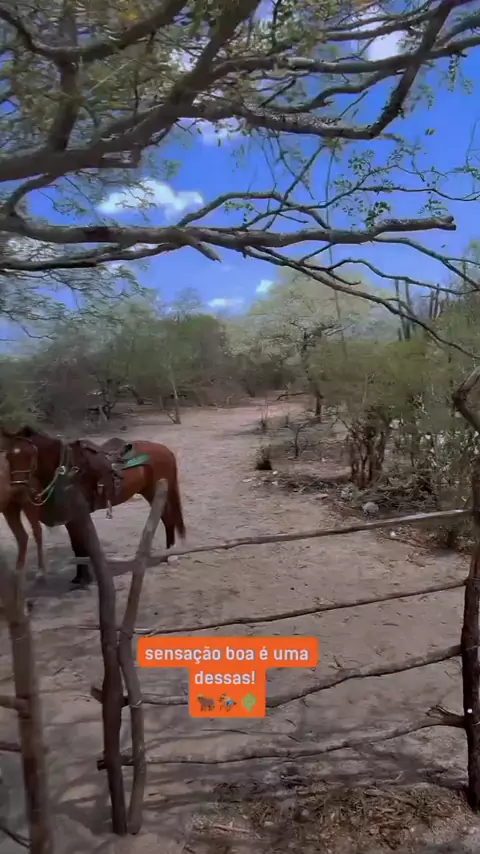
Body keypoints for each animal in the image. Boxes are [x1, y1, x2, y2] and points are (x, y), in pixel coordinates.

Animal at [2, 427, 186, 587]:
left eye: (29, 454)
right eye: (9, 457)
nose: (18, 488)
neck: (65, 472)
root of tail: (164, 450)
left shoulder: (76, 517)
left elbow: (79, 547)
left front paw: (83, 578)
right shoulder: (71, 518)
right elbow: (78, 546)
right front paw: (80, 577)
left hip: (157, 491)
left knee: (168, 519)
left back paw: (171, 556)